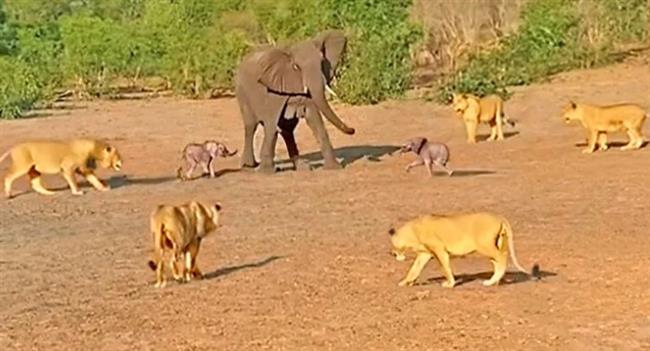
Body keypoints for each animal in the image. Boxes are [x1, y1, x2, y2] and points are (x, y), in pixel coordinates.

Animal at [234, 29, 354, 173]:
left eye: (321, 62)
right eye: (296, 67)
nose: (353, 130)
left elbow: (315, 119)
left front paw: (334, 168)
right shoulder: (272, 88)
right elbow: (271, 123)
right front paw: (266, 172)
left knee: (287, 130)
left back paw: (302, 167)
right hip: (242, 92)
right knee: (251, 126)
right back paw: (249, 167)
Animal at [388, 213, 536, 290]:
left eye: (393, 246)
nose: (392, 254)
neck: (412, 231)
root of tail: (499, 217)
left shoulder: (440, 250)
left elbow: (446, 268)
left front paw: (450, 284)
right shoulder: (425, 254)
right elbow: (414, 269)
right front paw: (406, 282)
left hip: (484, 245)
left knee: (502, 257)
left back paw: (490, 281)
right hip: (495, 244)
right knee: (497, 261)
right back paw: (496, 281)